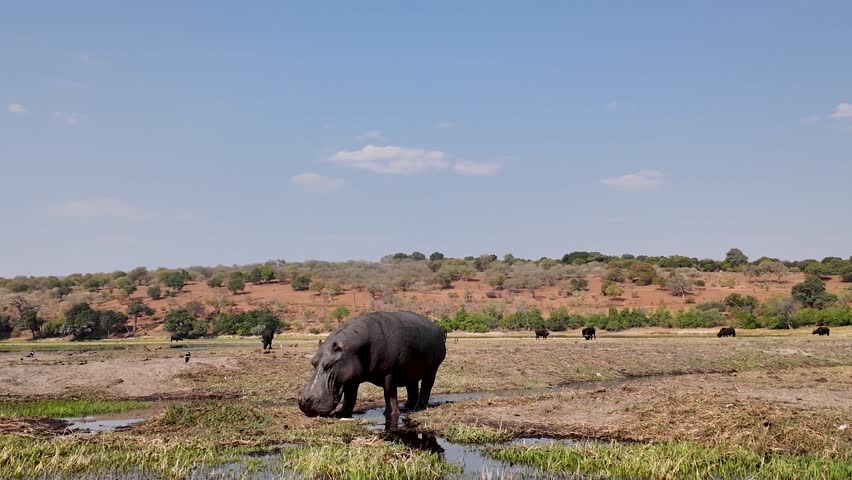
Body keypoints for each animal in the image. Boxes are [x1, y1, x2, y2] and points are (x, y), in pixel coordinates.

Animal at [298, 311, 446, 430]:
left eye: (329, 365)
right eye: (313, 362)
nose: (304, 400)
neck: (356, 349)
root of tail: (438, 328)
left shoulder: (389, 373)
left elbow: (390, 394)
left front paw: (391, 413)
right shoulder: (351, 378)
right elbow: (350, 397)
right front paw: (341, 414)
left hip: (433, 369)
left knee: (427, 386)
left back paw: (420, 406)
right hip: (410, 370)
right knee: (412, 387)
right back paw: (409, 405)